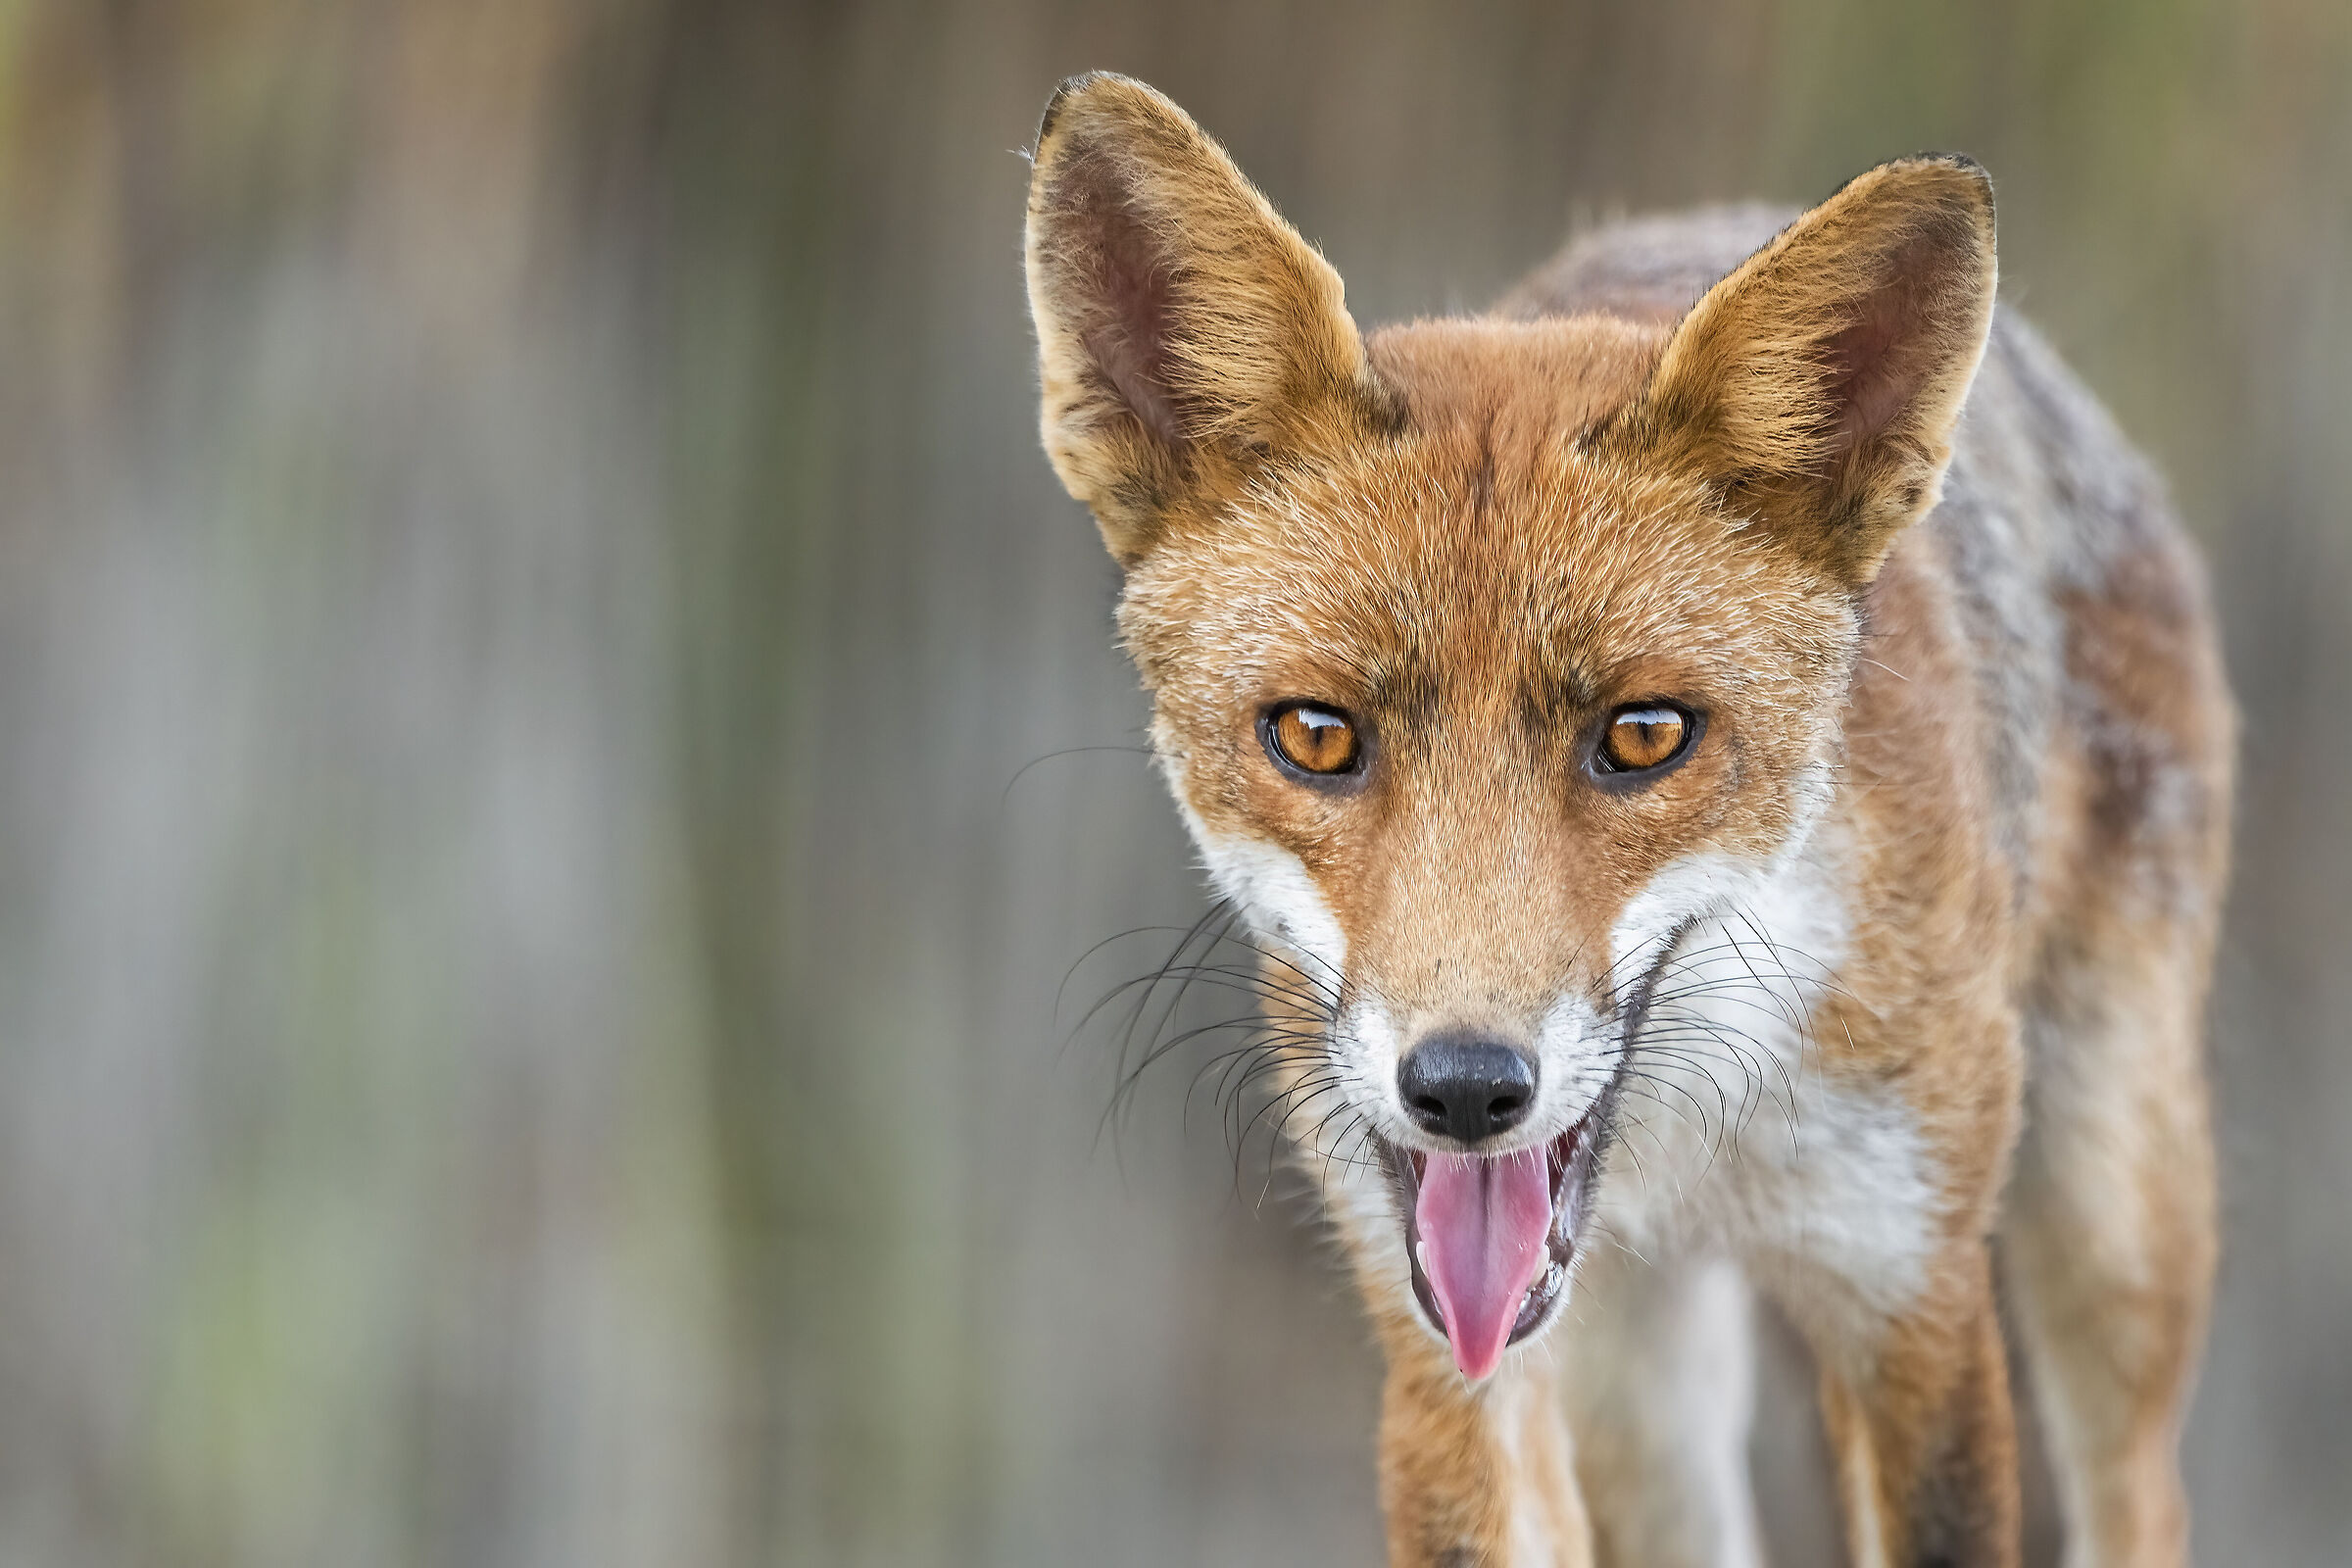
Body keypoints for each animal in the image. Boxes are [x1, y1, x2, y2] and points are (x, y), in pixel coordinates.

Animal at [1023, 73, 2231, 1568]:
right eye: (1316, 736)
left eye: (1645, 737)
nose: (1465, 1090)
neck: (1700, 1144)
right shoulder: (1440, 1342)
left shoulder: (1912, 1297)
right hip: (1645, 1404)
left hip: (2115, 1239)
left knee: (2140, 1490)